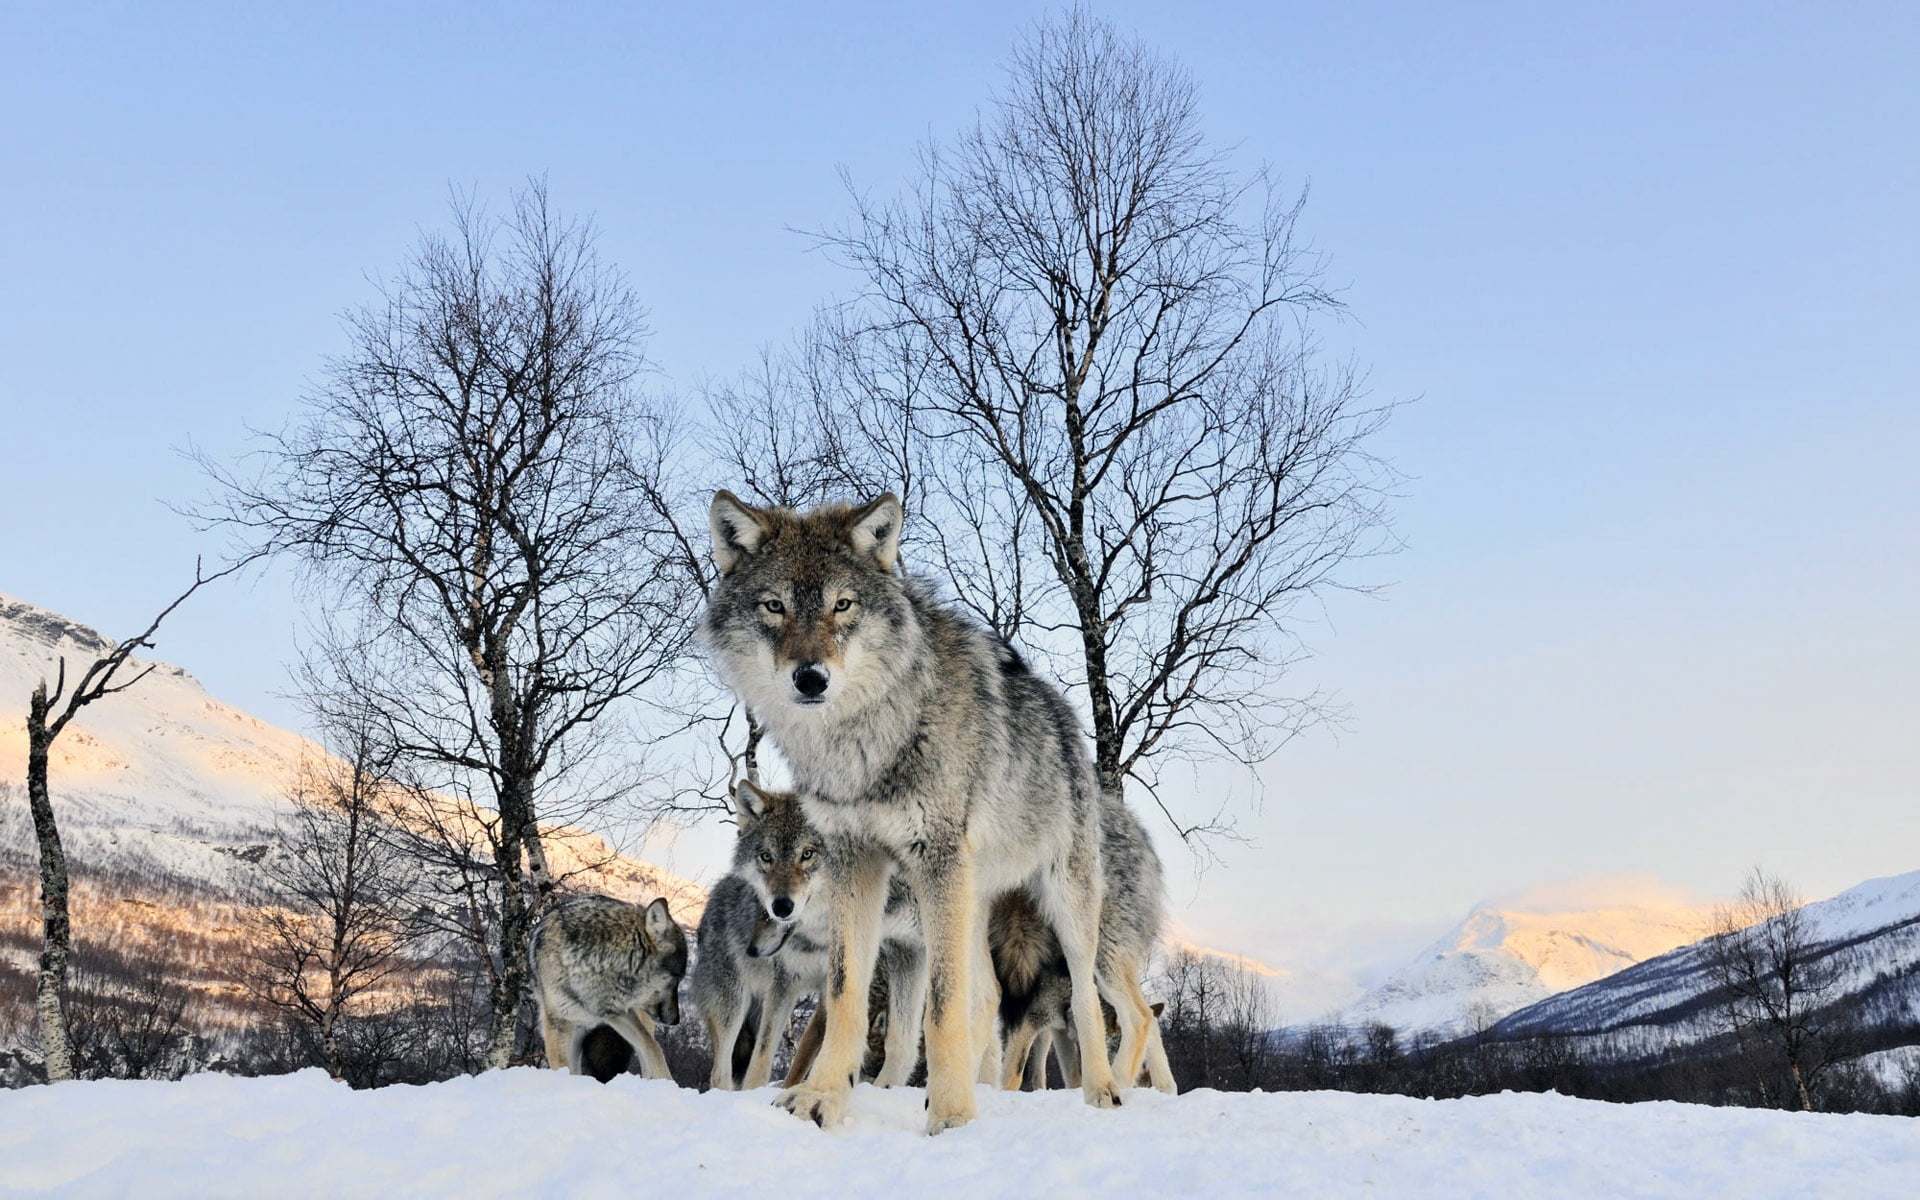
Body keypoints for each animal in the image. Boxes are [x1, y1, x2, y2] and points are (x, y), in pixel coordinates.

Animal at [531, 894, 688, 1079]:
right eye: (677, 979)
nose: (676, 1020)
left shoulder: (621, 1012)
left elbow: (653, 1048)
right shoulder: (559, 1025)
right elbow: (563, 1068)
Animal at [691, 779, 926, 1091]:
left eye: (807, 854)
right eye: (767, 857)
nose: (780, 907)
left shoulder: (828, 1000)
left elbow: (801, 1060)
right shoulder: (784, 985)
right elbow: (763, 1060)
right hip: (732, 1005)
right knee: (720, 1071)